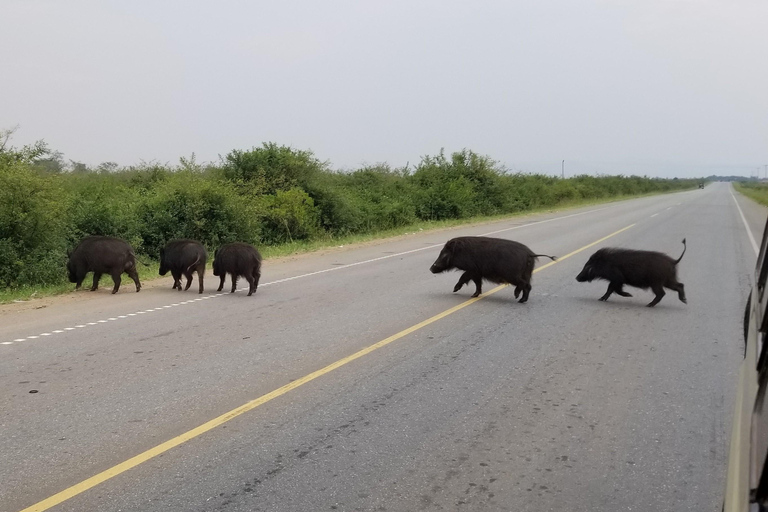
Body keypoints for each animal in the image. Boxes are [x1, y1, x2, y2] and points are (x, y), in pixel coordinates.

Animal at [428, 237, 556, 304]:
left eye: (444, 254)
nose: (430, 268)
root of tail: (529, 254)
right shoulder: (477, 273)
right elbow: (478, 284)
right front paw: (474, 295)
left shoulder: (472, 269)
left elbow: (463, 277)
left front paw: (455, 290)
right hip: (527, 273)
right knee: (527, 286)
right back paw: (521, 300)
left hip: (512, 275)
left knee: (525, 285)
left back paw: (517, 298)